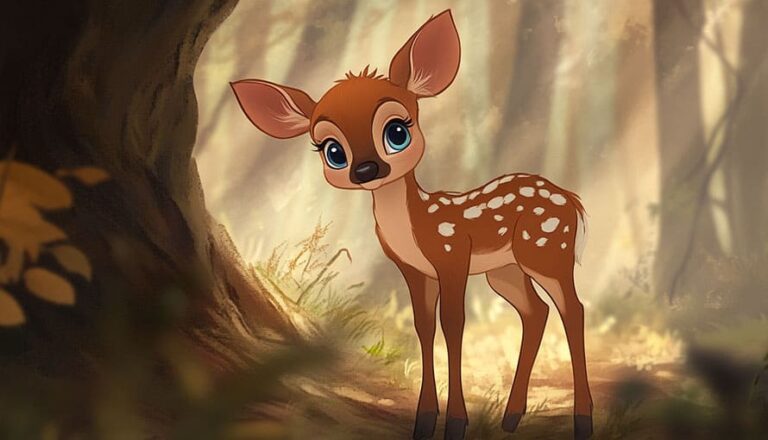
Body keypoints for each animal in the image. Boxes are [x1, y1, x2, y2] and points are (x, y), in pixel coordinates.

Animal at [231, 10, 593, 440]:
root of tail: (571, 200)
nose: (366, 170)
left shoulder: (452, 256)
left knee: (574, 308)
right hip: (504, 270)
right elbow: (424, 327)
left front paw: (456, 423)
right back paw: (511, 416)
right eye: (333, 151)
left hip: (546, 249)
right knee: (536, 312)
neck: (418, 225)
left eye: (397, 131)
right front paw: (424, 420)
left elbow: (453, 325)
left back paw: (583, 420)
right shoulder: (414, 270)